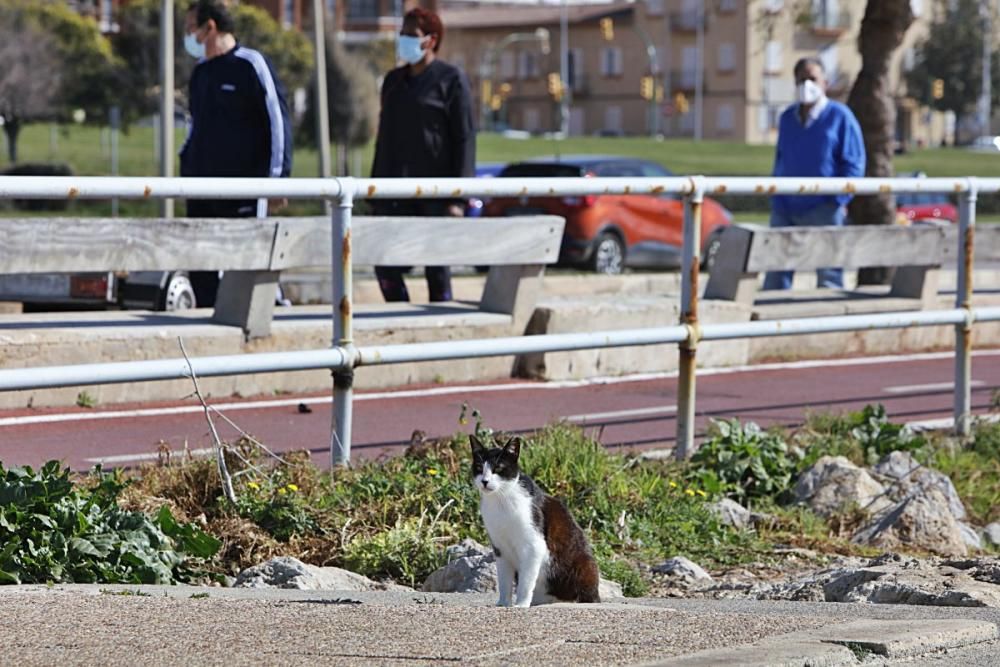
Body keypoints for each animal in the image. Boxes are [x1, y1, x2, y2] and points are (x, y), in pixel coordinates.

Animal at [470, 436, 600, 608]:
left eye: (498, 468)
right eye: (479, 467)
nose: (484, 481)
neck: (500, 500)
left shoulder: (533, 545)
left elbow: (526, 581)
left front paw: (521, 604)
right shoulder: (500, 548)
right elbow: (504, 580)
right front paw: (503, 603)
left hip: (584, 567)